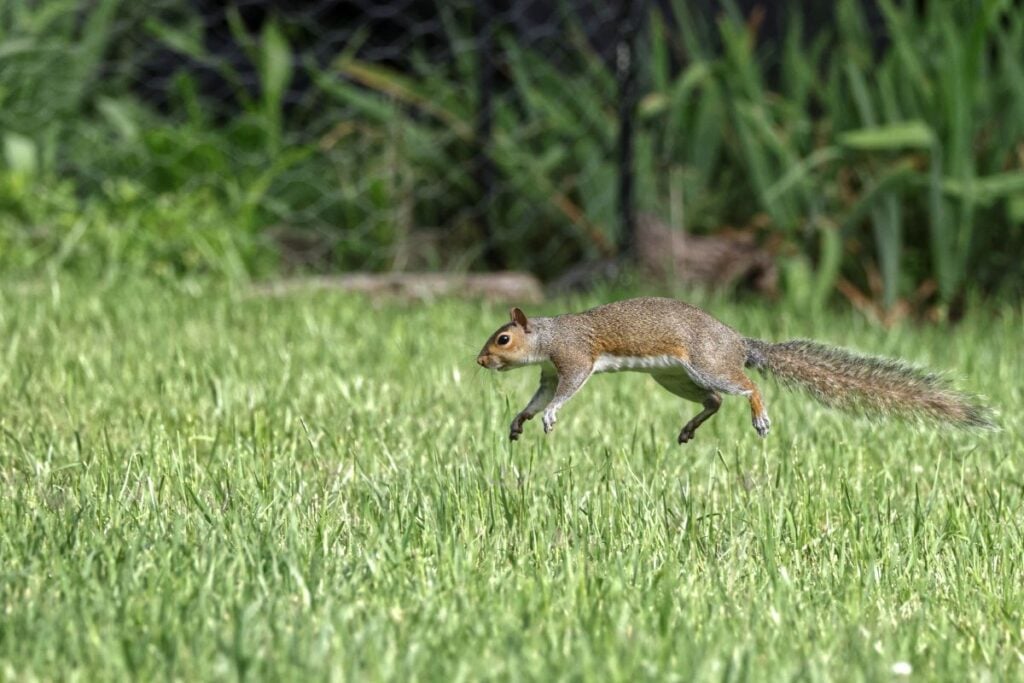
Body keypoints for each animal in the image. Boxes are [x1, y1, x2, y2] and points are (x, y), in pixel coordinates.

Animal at [475, 297, 993, 443]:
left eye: (503, 339)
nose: (480, 361)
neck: (546, 337)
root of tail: (740, 342)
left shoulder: (574, 360)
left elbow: (565, 392)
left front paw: (549, 417)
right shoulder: (548, 373)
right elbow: (538, 396)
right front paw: (520, 420)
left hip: (706, 366)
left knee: (743, 386)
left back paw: (760, 416)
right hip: (675, 378)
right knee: (714, 400)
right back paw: (689, 429)